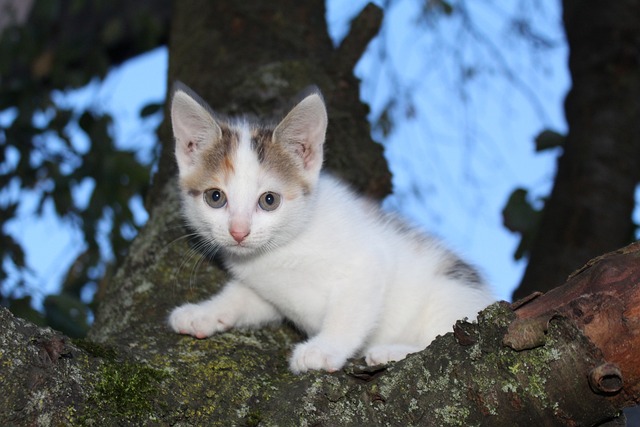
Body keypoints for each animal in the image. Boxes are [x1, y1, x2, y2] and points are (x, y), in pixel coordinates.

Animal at [166, 83, 496, 374]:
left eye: (269, 200)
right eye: (215, 197)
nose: (238, 232)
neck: (282, 250)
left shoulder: (368, 263)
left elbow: (349, 311)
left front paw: (323, 349)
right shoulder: (268, 290)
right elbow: (242, 297)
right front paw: (204, 313)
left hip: (451, 295)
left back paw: (391, 352)